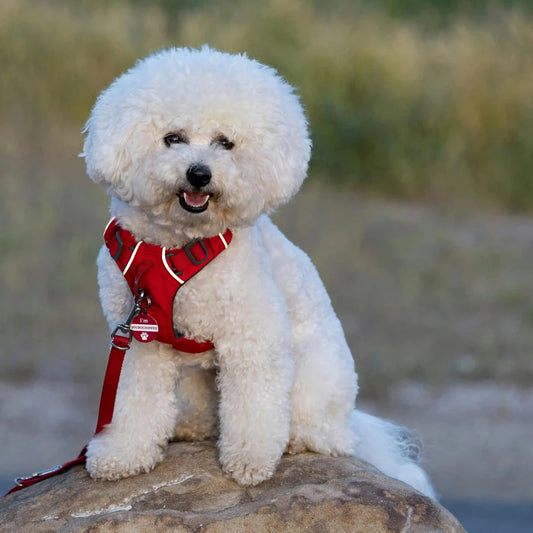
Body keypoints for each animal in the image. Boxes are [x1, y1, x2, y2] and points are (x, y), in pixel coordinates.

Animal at [81, 46, 434, 498]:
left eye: (226, 143)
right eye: (172, 138)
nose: (199, 173)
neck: (178, 246)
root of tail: (349, 418)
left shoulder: (252, 335)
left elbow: (254, 404)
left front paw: (250, 460)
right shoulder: (140, 343)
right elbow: (133, 402)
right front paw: (121, 454)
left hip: (314, 377)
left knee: (327, 434)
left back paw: (300, 438)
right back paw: (190, 426)